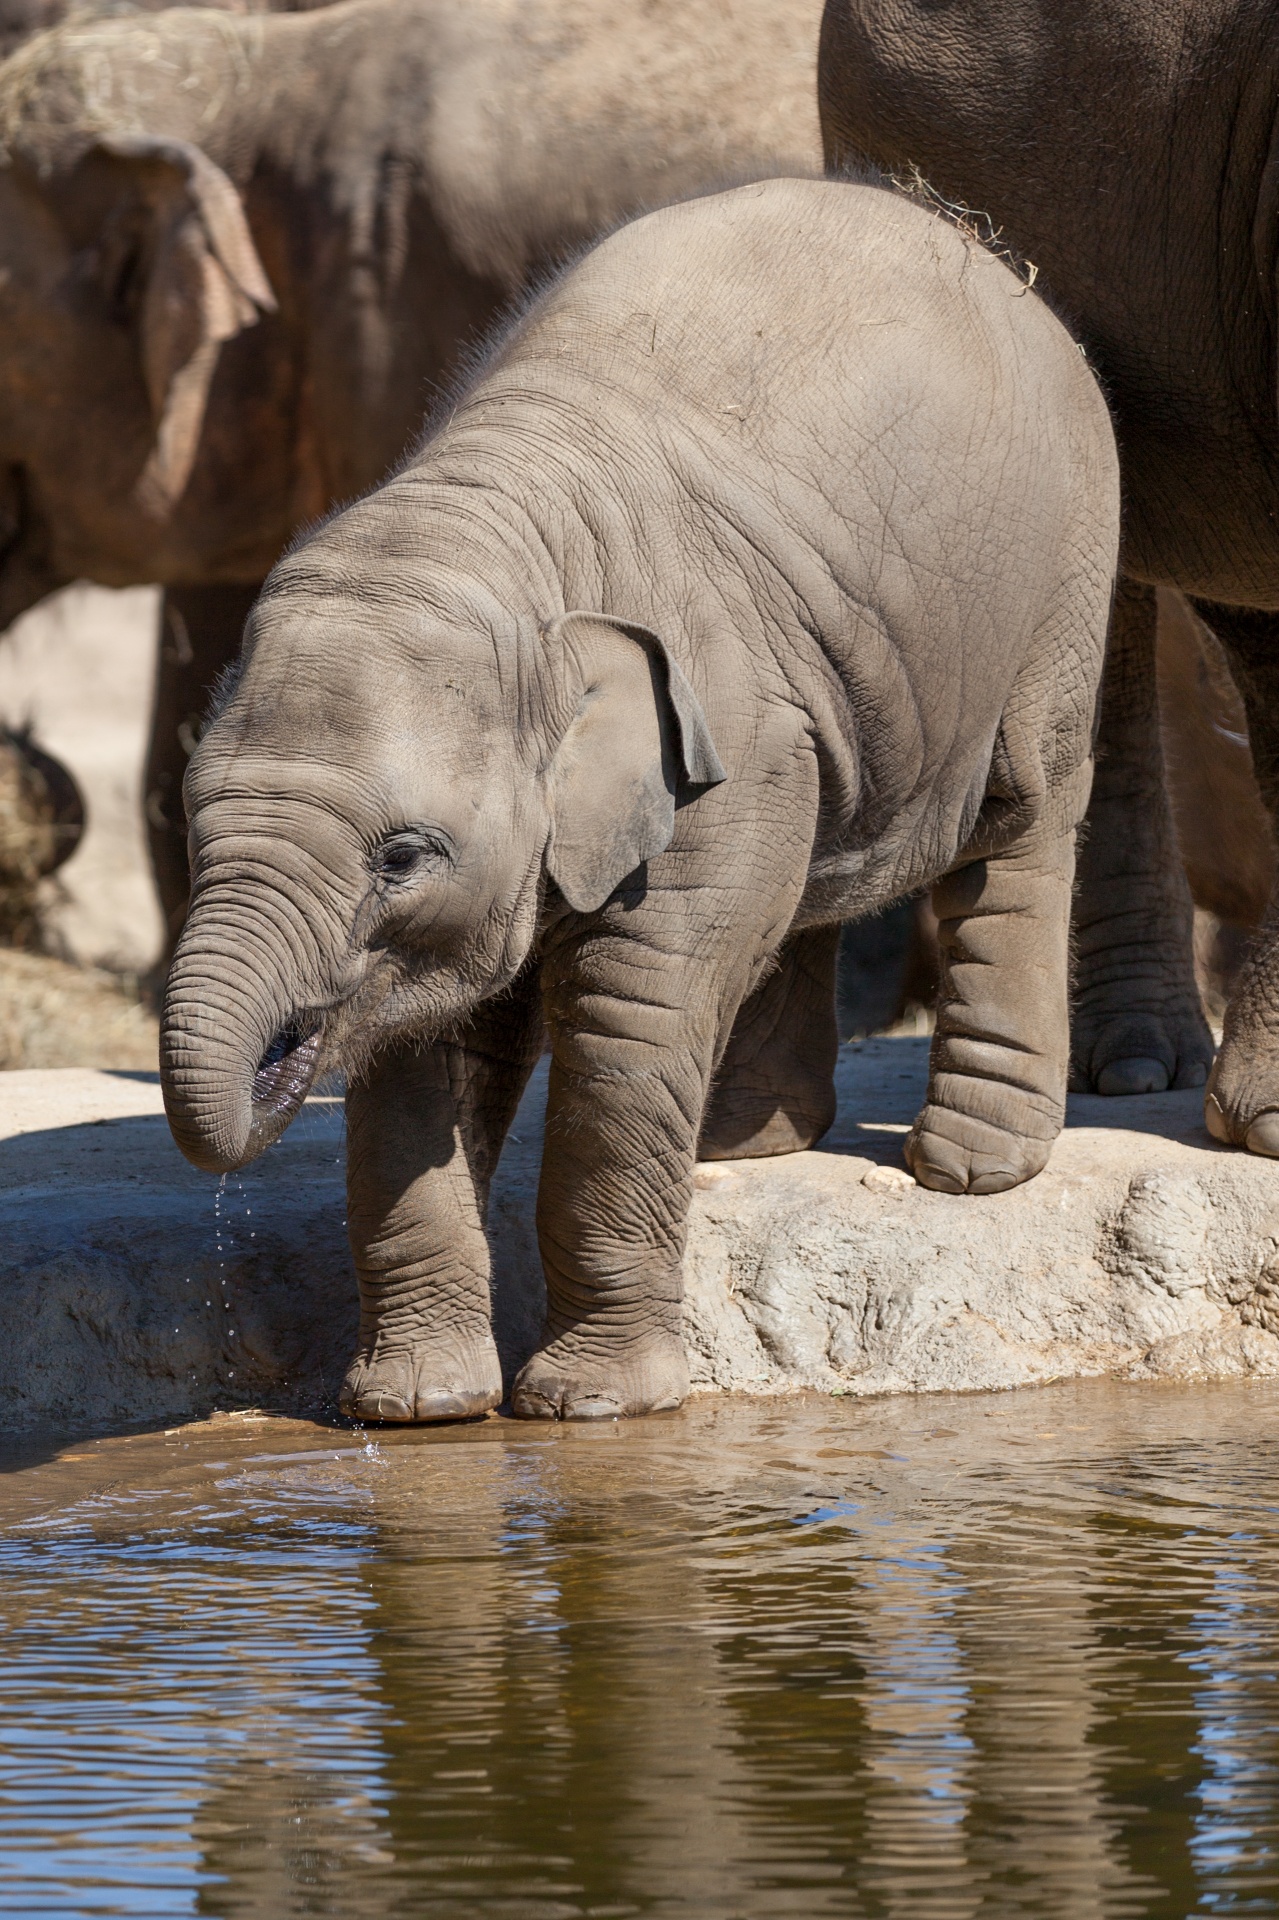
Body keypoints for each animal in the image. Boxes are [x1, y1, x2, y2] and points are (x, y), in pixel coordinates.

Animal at [159, 180, 1113, 1420]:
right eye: (192, 821)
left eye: (401, 856)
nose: (278, 1061)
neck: (498, 522)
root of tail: (973, 241)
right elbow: (423, 1052)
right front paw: (418, 1409)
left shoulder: (724, 738)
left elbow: (629, 1015)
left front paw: (591, 1407)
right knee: (815, 874)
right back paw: (742, 1143)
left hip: (1061, 588)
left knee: (1022, 818)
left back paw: (969, 1169)